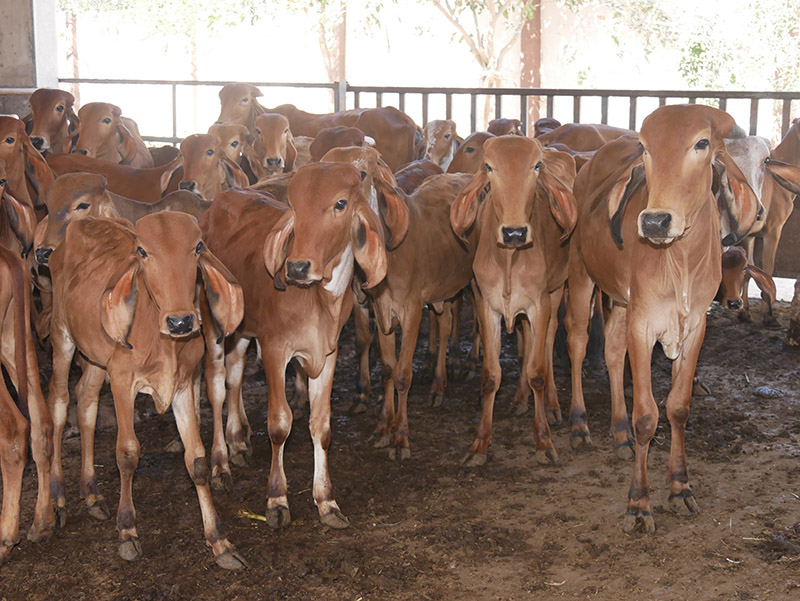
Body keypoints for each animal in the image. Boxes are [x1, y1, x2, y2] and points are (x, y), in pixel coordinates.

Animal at [47, 211, 245, 568]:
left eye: (198, 246)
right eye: (141, 251)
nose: (180, 322)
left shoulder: (183, 385)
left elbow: (196, 460)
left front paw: (219, 540)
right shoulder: (122, 380)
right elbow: (127, 454)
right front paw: (127, 531)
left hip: (96, 359)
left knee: (86, 402)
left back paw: (92, 494)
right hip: (62, 337)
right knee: (58, 404)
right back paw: (57, 499)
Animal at [196, 162, 400, 528]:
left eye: (340, 203)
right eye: (293, 206)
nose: (297, 267)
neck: (318, 299)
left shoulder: (328, 353)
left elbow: (321, 426)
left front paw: (327, 501)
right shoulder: (275, 349)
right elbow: (279, 424)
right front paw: (277, 499)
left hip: (242, 330)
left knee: (234, 376)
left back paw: (238, 442)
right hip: (214, 323)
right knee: (217, 385)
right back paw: (220, 463)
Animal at [450, 138, 576, 466]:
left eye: (536, 165)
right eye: (489, 167)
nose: (515, 232)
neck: (508, 258)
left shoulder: (539, 305)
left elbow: (538, 372)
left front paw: (543, 441)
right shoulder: (487, 306)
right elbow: (491, 376)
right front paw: (479, 444)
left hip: (556, 291)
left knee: (544, 344)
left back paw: (552, 405)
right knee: (528, 341)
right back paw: (520, 398)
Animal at [564, 105, 760, 532]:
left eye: (701, 143)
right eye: (646, 148)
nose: (655, 222)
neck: (680, 259)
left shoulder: (695, 327)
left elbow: (678, 407)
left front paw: (679, 487)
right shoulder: (644, 326)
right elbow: (647, 416)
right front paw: (638, 503)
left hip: (623, 303)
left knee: (612, 351)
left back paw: (619, 432)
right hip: (581, 273)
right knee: (578, 343)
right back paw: (580, 424)